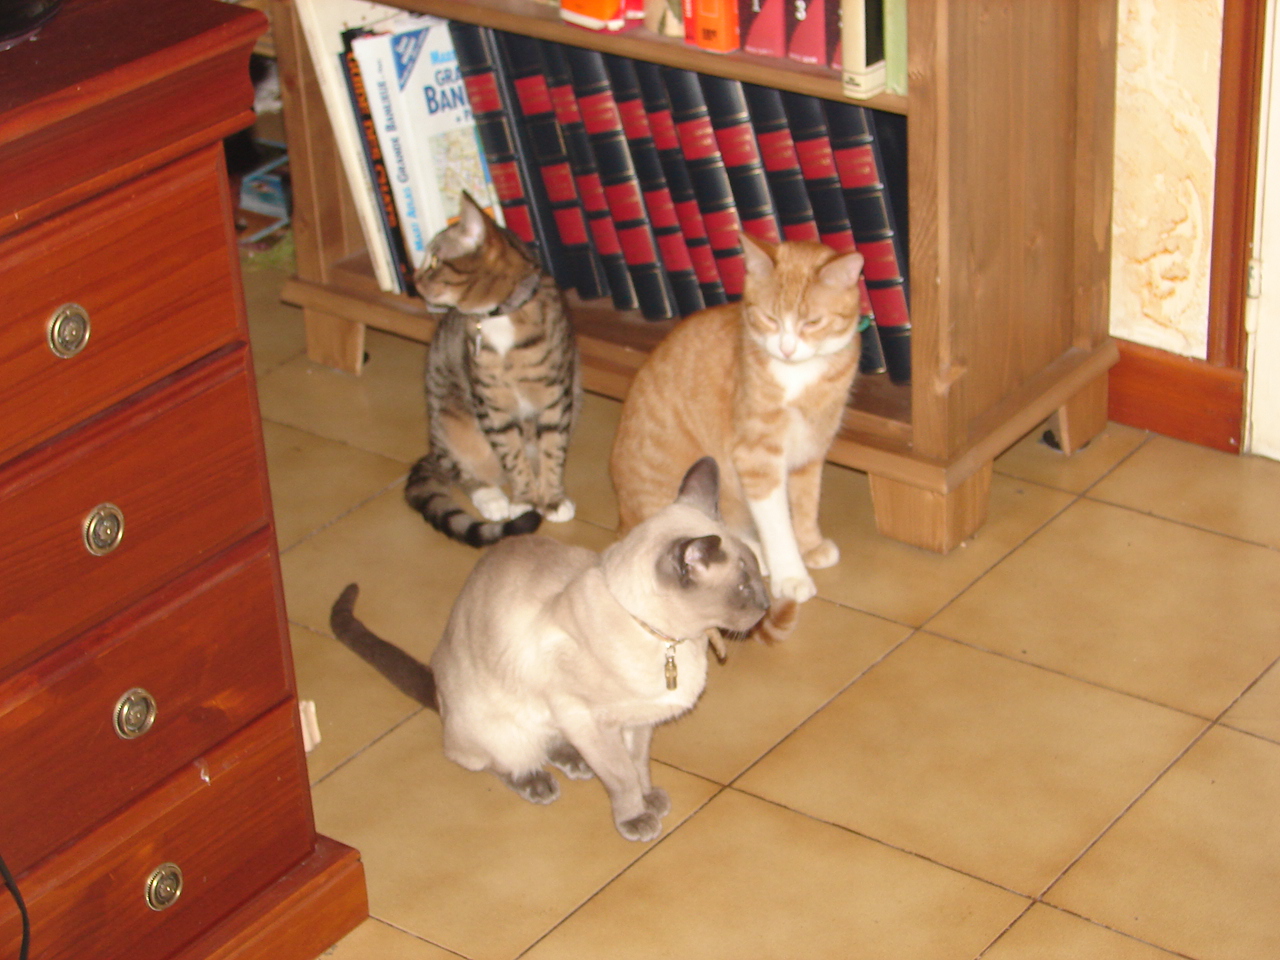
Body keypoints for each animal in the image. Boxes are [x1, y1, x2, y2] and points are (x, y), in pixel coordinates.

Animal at [330, 457, 769, 842]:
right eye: (743, 587)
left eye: (759, 575)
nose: (767, 606)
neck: (669, 642)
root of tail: (438, 692)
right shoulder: (588, 718)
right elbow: (621, 776)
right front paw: (635, 818)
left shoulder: (638, 722)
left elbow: (638, 766)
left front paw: (650, 800)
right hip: (502, 723)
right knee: (492, 760)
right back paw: (538, 781)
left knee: (548, 746)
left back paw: (574, 762)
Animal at [405, 191, 580, 547]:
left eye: (434, 261)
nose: (413, 279)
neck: (500, 317)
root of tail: (432, 448)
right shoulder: (491, 405)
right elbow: (511, 455)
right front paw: (525, 500)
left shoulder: (557, 397)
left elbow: (553, 450)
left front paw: (552, 498)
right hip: (451, 423)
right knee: (462, 470)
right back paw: (493, 497)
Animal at [610, 232, 865, 611]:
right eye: (770, 319)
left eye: (812, 323)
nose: (787, 348)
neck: (800, 377)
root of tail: (623, 519)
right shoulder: (757, 458)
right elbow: (777, 523)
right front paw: (791, 573)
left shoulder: (811, 451)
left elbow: (806, 504)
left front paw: (810, 545)